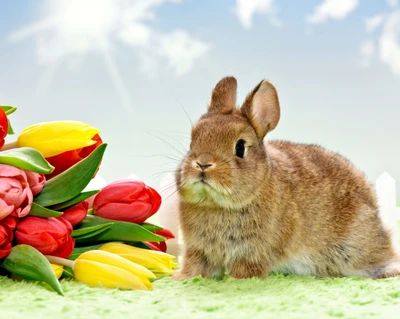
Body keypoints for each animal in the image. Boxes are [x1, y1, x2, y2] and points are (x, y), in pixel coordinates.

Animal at [174, 75, 400, 280]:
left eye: (240, 147)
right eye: (193, 140)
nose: (202, 164)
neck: (219, 204)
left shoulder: (253, 254)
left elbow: (244, 272)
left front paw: (234, 281)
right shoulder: (198, 250)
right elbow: (197, 268)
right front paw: (181, 278)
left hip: (356, 247)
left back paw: (389, 271)